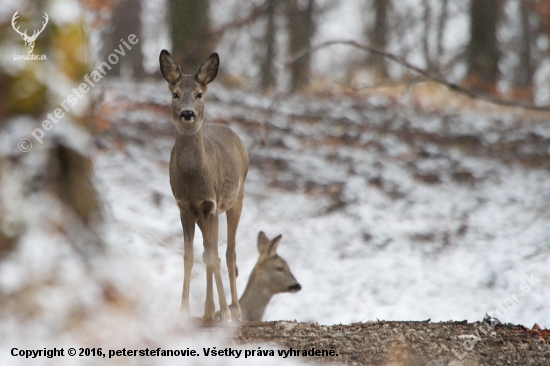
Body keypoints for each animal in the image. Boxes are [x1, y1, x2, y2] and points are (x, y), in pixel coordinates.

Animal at [160, 50, 250, 322]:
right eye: (175, 94)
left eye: (199, 94)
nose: (188, 113)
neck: (194, 182)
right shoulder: (184, 207)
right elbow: (190, 256)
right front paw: (184, 311)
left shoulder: (211, 206)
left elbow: (215, 257)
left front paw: (226, 313)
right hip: (203, 215)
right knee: (208, 252)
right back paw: (209, 311)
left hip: (236, 200)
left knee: (229, 254)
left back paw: (235, 310)